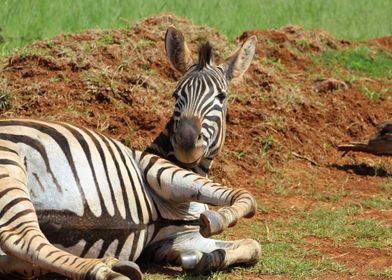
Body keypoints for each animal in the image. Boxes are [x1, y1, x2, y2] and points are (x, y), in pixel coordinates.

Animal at [0, 26, 258, 280]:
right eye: (176, 95)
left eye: (221, 96)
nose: (185, 142)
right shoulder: (158, 168)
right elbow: (245, 196)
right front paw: (218, 219)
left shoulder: (178, 240)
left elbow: (251, 246)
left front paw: (201, 259)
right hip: (9, 168)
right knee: (22, 239)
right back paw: (104, 270)